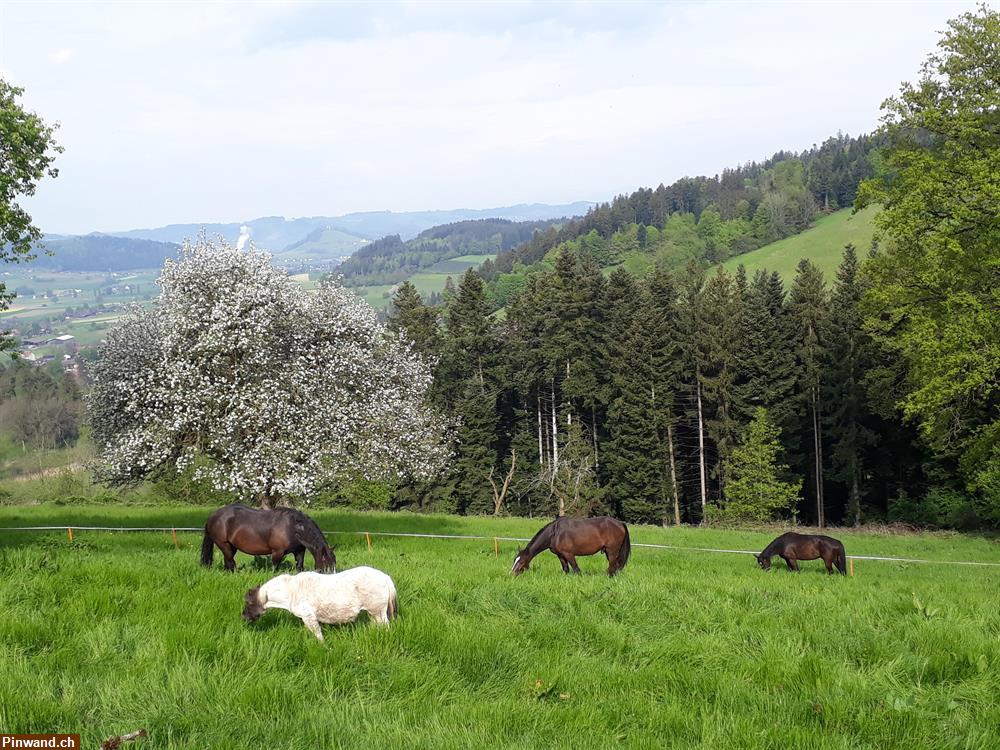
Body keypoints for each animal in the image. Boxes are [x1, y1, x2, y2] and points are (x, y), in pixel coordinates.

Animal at [200, 506, 336, 576]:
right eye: (327, 565)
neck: (292, 527)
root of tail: (213, 516)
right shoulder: (277, 552)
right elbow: (275, 568)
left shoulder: (299, 551)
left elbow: (299, 567)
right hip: (224, 544)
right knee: (230, 562)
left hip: (231, 546)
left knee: (228, 562)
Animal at [243, 568, 398, 644]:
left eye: (248, 602)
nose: (243, 617)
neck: (290, 591)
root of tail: (386, 577)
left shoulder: (308, 616)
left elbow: (318, 636)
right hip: (374, 613)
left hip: (378, 612)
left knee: (386, 628)